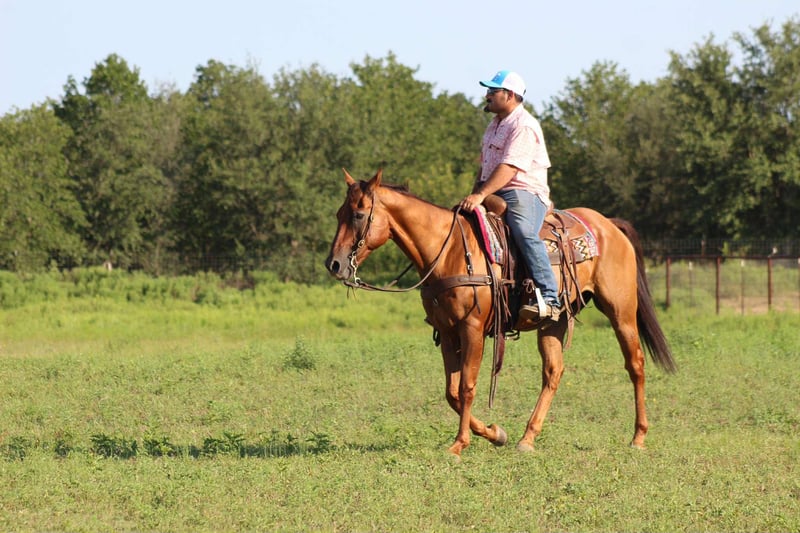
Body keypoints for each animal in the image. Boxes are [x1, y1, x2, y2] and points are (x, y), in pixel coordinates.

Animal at [325, 168, 676, 457]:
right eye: (339, 213)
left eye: (358, 215)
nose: (334, 264)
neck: (450, 250)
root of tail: (609, 225)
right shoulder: (447, 331)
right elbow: (451, 392)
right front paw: (496, 434)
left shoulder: (472, 329)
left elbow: (467, 387)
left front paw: (460, 444)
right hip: (554, 322)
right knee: (553, 372)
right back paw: (527, 438)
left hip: (621, 311)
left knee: (635, 364)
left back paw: (638, 437)